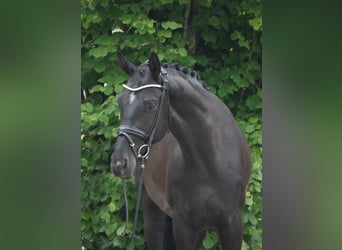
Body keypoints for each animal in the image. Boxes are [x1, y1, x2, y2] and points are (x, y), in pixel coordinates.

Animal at [111, 51, 250, 249]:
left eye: (151, 104)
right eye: (120, 102)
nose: (119, 163)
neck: (211, 161)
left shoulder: (232, 225)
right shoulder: (183, 225)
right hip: (152, 212)